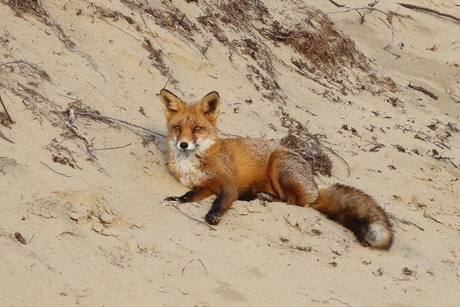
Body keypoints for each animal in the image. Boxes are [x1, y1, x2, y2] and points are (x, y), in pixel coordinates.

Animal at [160, 89, 394, 250]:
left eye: (197, 128)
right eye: (177, 128)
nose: (183, 144)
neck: (192, 162)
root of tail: (315, 185)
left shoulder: (228, 184)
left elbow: (220, 202)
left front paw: (214, 216)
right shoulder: (205, 185)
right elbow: (189, 195)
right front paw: (177, 199)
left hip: (278, 164)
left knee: (294, 203)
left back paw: (262, 198)